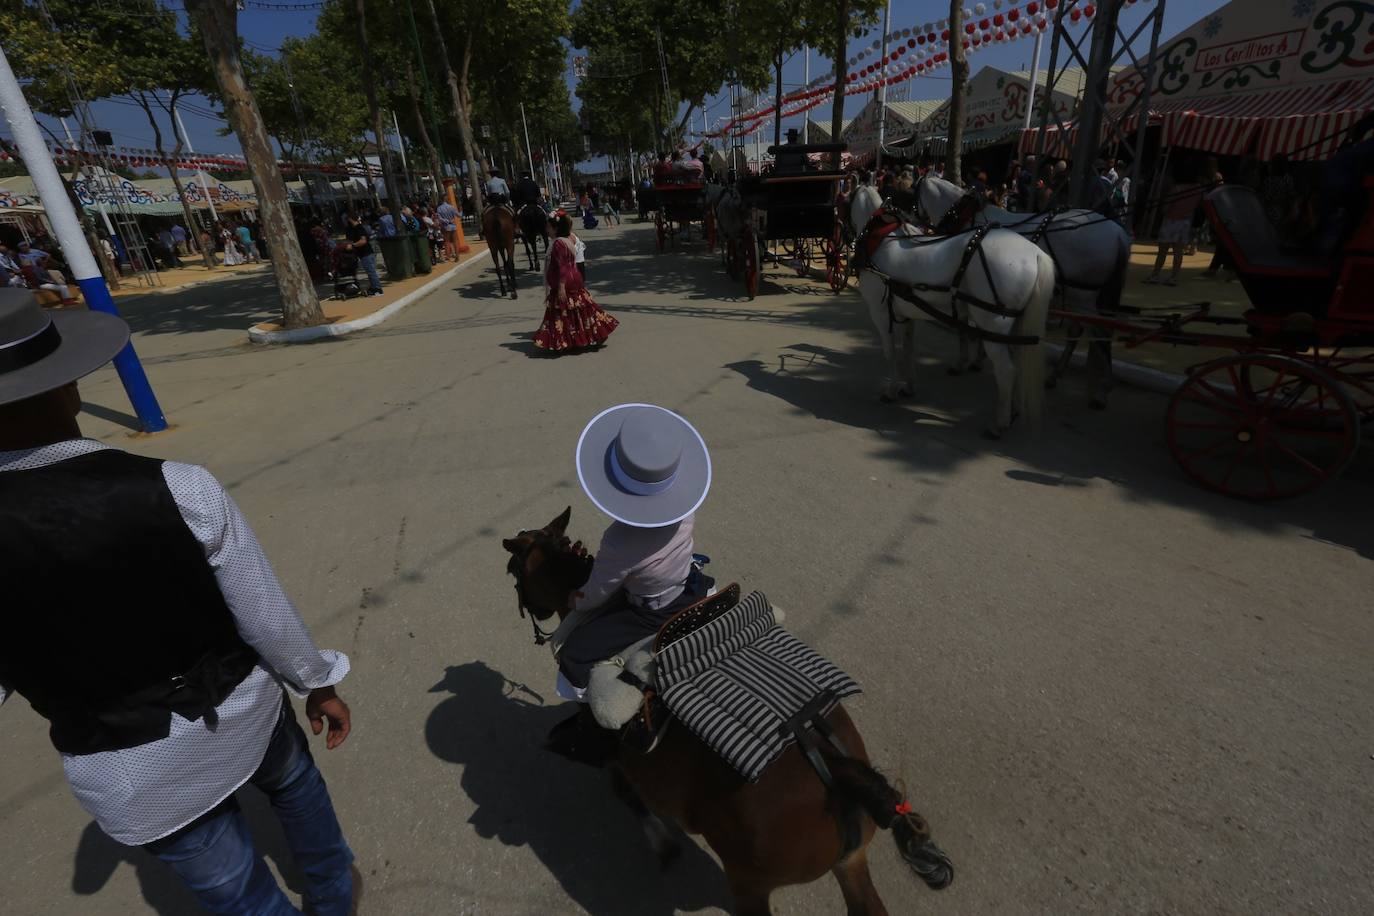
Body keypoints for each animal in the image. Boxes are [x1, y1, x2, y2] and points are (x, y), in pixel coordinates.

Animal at [505, 508, 956, 916]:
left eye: (514, 572)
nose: (535, 614)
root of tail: (833, 765)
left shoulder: (618, 755)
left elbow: (626, 791)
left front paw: (663, 844)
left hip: (749, 882)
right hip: (851, 864)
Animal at [846, 184, 1049, 439]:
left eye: (843, 199)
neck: (880, 240)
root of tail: (1035, 253)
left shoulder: (881, 313)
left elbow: (891, 352)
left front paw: (891, 390)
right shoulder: (907, 313)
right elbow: (908, 349)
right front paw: (908, 386)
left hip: (992, 324)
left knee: (1006, 371)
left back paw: (998, 424)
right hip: (1014, 327)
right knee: (1019, 365)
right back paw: (1012, 412)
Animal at [912, 173, 1126, 409]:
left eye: (913, 191)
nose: (914, 217)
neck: (967, 217)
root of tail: (1118, 232)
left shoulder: (962, 286)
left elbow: (964, 326)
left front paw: (962, 363)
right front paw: (977, 359)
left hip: (1083, 297)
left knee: (1100, 332)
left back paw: (1102, 390)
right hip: (1077, 297)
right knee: (1078, 330)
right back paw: (1057, 375)